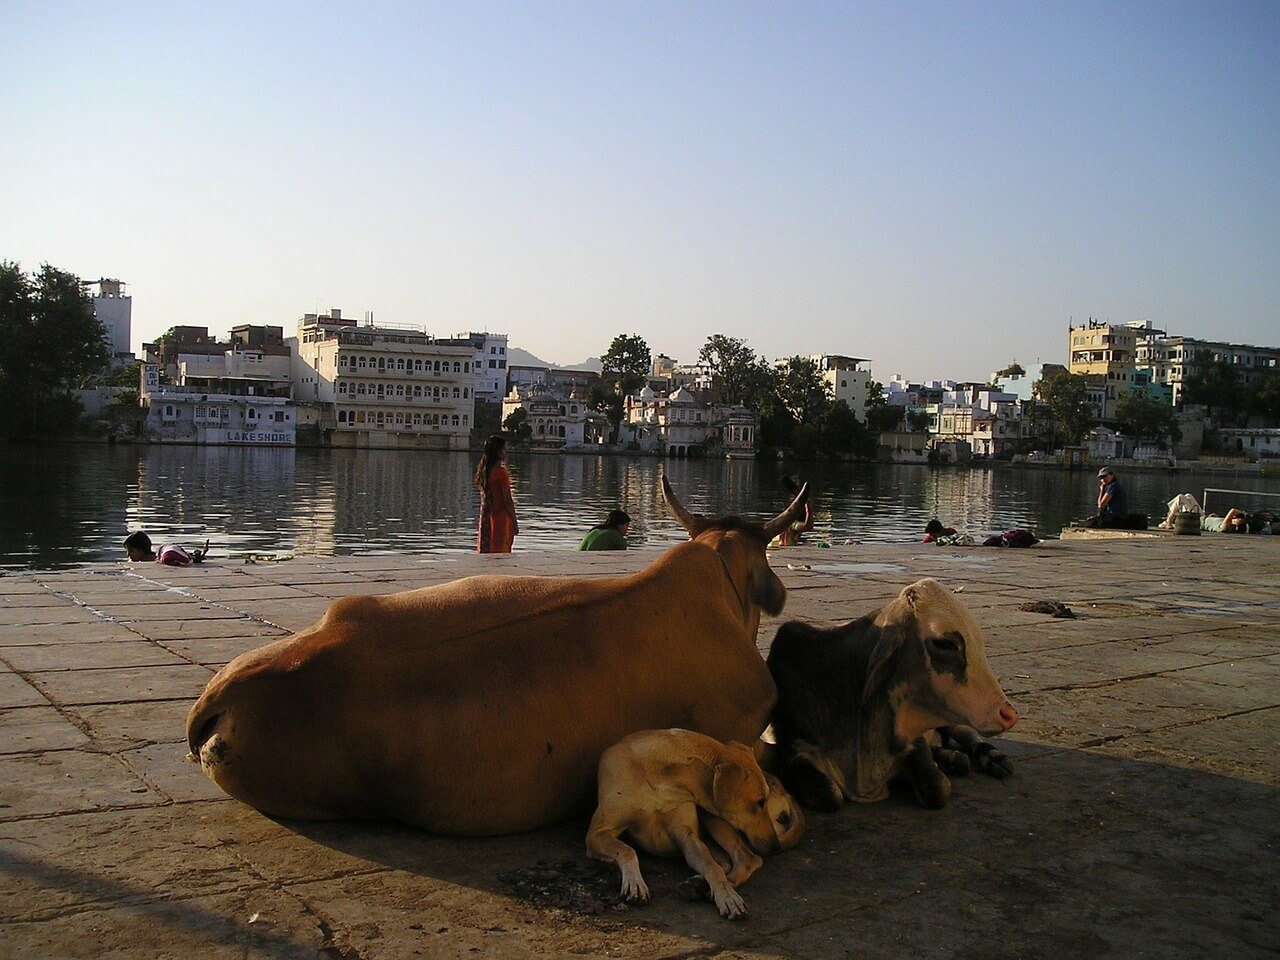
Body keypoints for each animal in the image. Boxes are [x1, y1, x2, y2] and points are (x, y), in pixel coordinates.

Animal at [586, 732, 798, 921]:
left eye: (765, 801)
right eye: (760, 802)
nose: (776, 846)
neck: (660, 778)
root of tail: (787, 793)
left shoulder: (688, 838)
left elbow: (712, 867)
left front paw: (727, 896)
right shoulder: (596, 833)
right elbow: (626, 850)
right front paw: (635, 882)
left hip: (713, 818)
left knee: (747, 858)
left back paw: (710, 886)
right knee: (730, 861)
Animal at [768, 578, 1018, 814]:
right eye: (945, 643)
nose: (1009, 715)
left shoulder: (913, 740)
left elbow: (938, 789)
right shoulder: (794, 749)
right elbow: (829, 795)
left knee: (966, 733)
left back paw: (991, 758)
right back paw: (952, 758)